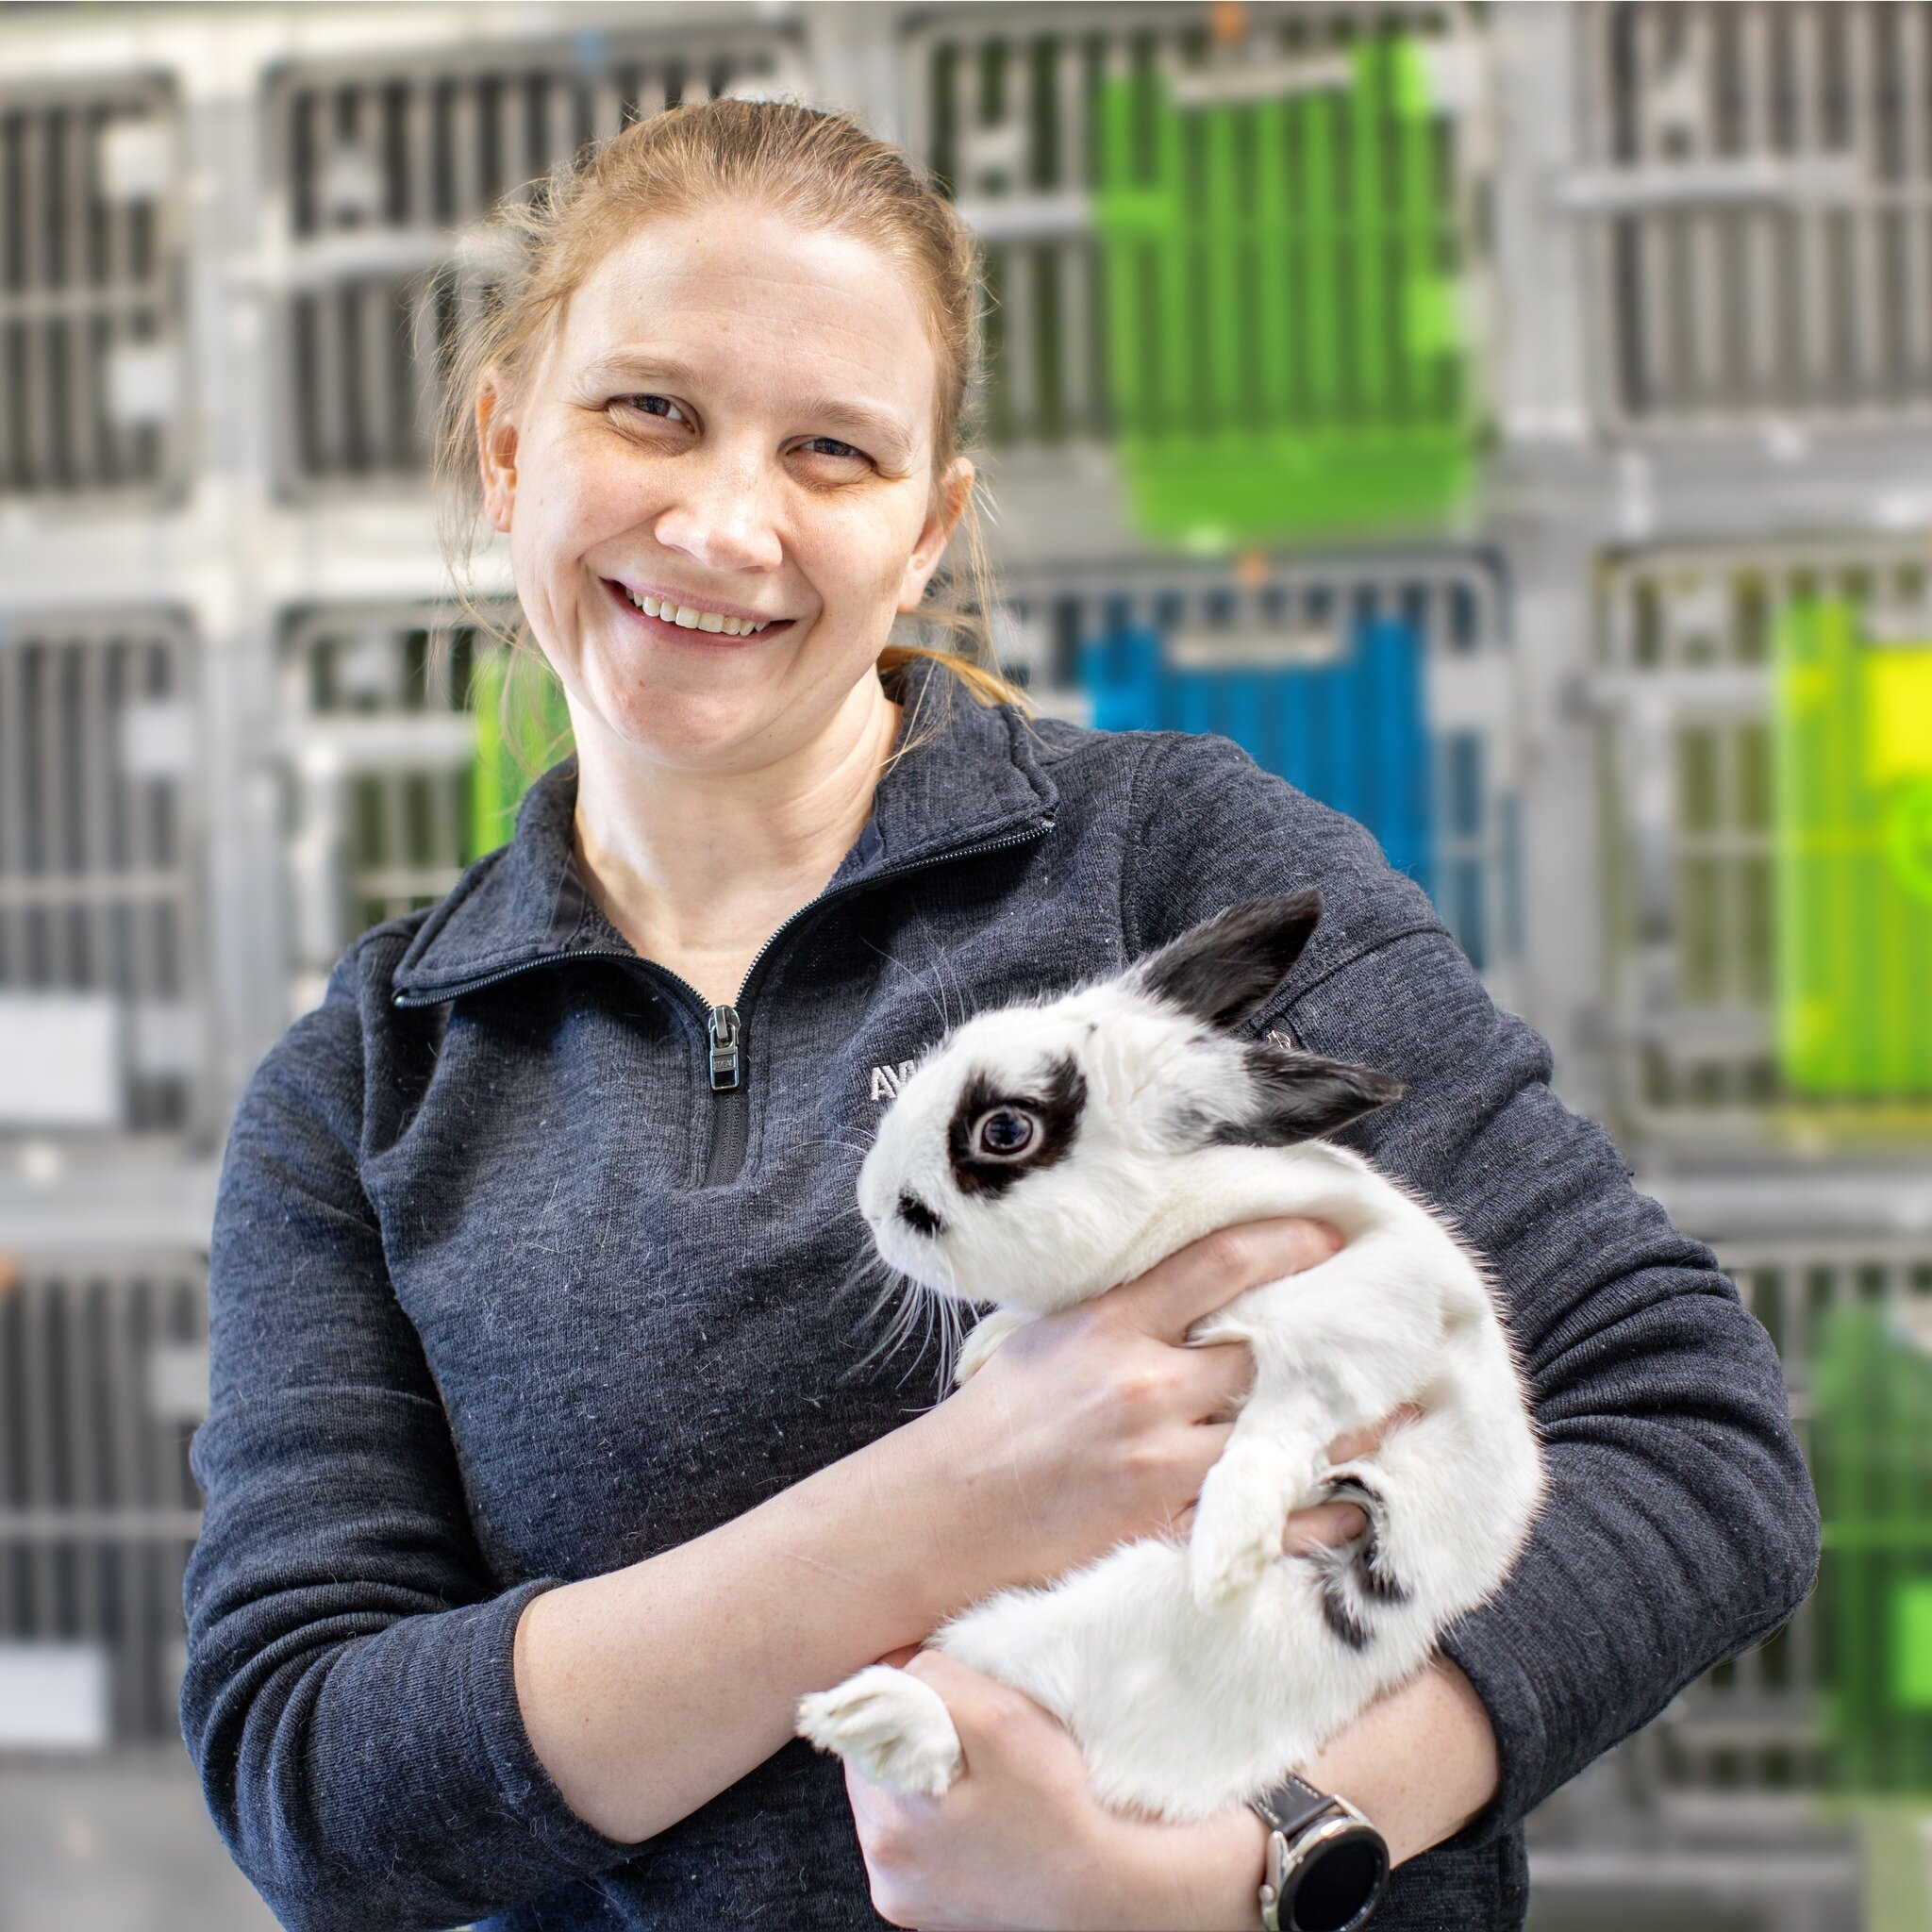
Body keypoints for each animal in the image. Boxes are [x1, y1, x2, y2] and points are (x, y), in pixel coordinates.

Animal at [791, 889, 1545, 1824]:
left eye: (1004, 1130)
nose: (872, 1206)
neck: (1170, 1206)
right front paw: (987, 1348)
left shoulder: (1355, 1317)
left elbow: (1280, 1425)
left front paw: (1228, 1551)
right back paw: (857, 1713)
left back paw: (867, 1714)